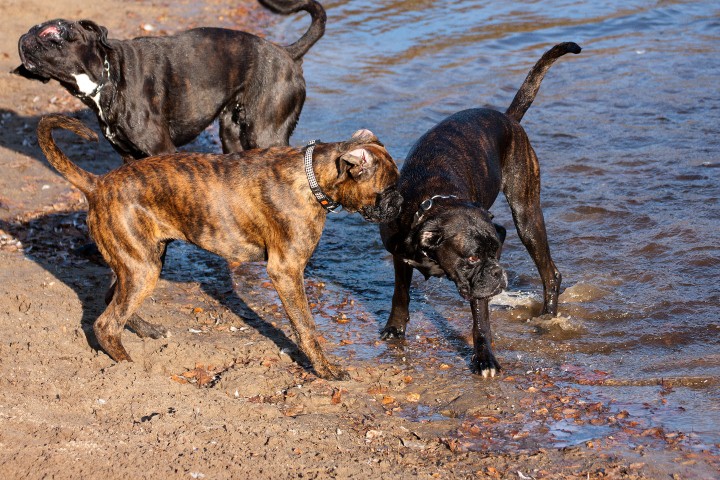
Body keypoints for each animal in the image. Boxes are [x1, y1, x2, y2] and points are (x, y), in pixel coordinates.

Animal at [36, 113, 402, 378]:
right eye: (388, 189)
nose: (401, 204)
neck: (312, 175)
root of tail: (98, 184)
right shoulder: (286, 271)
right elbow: (306, 326)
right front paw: (325, 370)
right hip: (143, 268)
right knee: (106, 323)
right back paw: (128, 367)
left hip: (141, 259)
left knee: (113, 299)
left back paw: (145, 331)